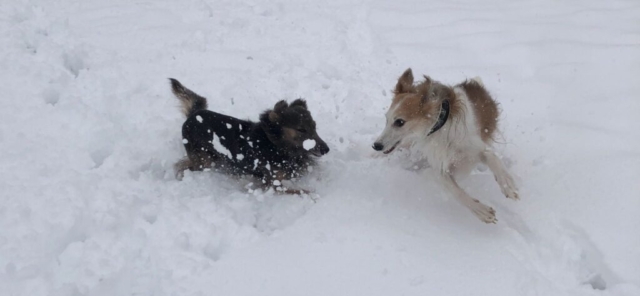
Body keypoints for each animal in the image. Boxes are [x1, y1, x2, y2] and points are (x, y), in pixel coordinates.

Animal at [170, 78, 330, 194]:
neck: (275, 144)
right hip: (204, 160)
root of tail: (194, 114)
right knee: (182, 165)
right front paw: (314, 195)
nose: (326, 149)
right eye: (301, 129)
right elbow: (301, 191)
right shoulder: (274, 183)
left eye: (314, 127)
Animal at [372, 68, 516, 223]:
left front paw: (508, 185)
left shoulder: (475, 149)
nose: (376, 145)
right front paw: (481, 210)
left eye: (399, 122)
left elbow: (491, 157)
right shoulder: (442, 168)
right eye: (386, 120)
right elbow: (455, 191)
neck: (440, 128)